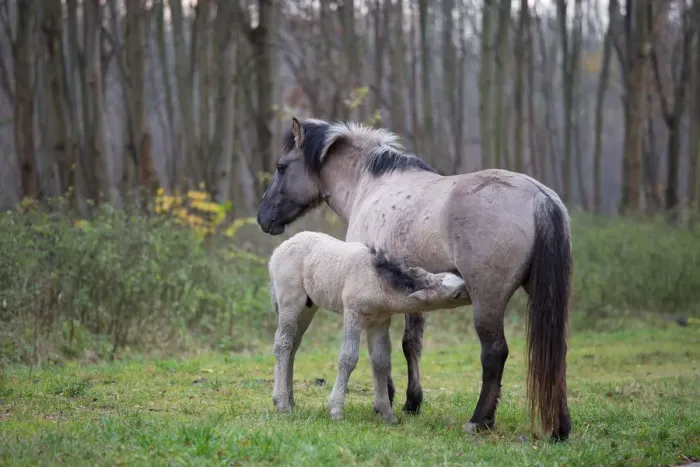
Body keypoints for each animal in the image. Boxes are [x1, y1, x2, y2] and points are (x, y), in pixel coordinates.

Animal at [268, 230, 469, 423]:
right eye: (456, 294)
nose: (472, 293)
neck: (377, 278)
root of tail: (279, 249)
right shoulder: (353, 315)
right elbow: (348, 358)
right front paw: (336, 410)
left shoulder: (380, 323)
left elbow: (381, 361)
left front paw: (387, 414)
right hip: (290, 302)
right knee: (283, 344)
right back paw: (282, 403)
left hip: (307, 308)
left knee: (293, 346)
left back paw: (290, 401)